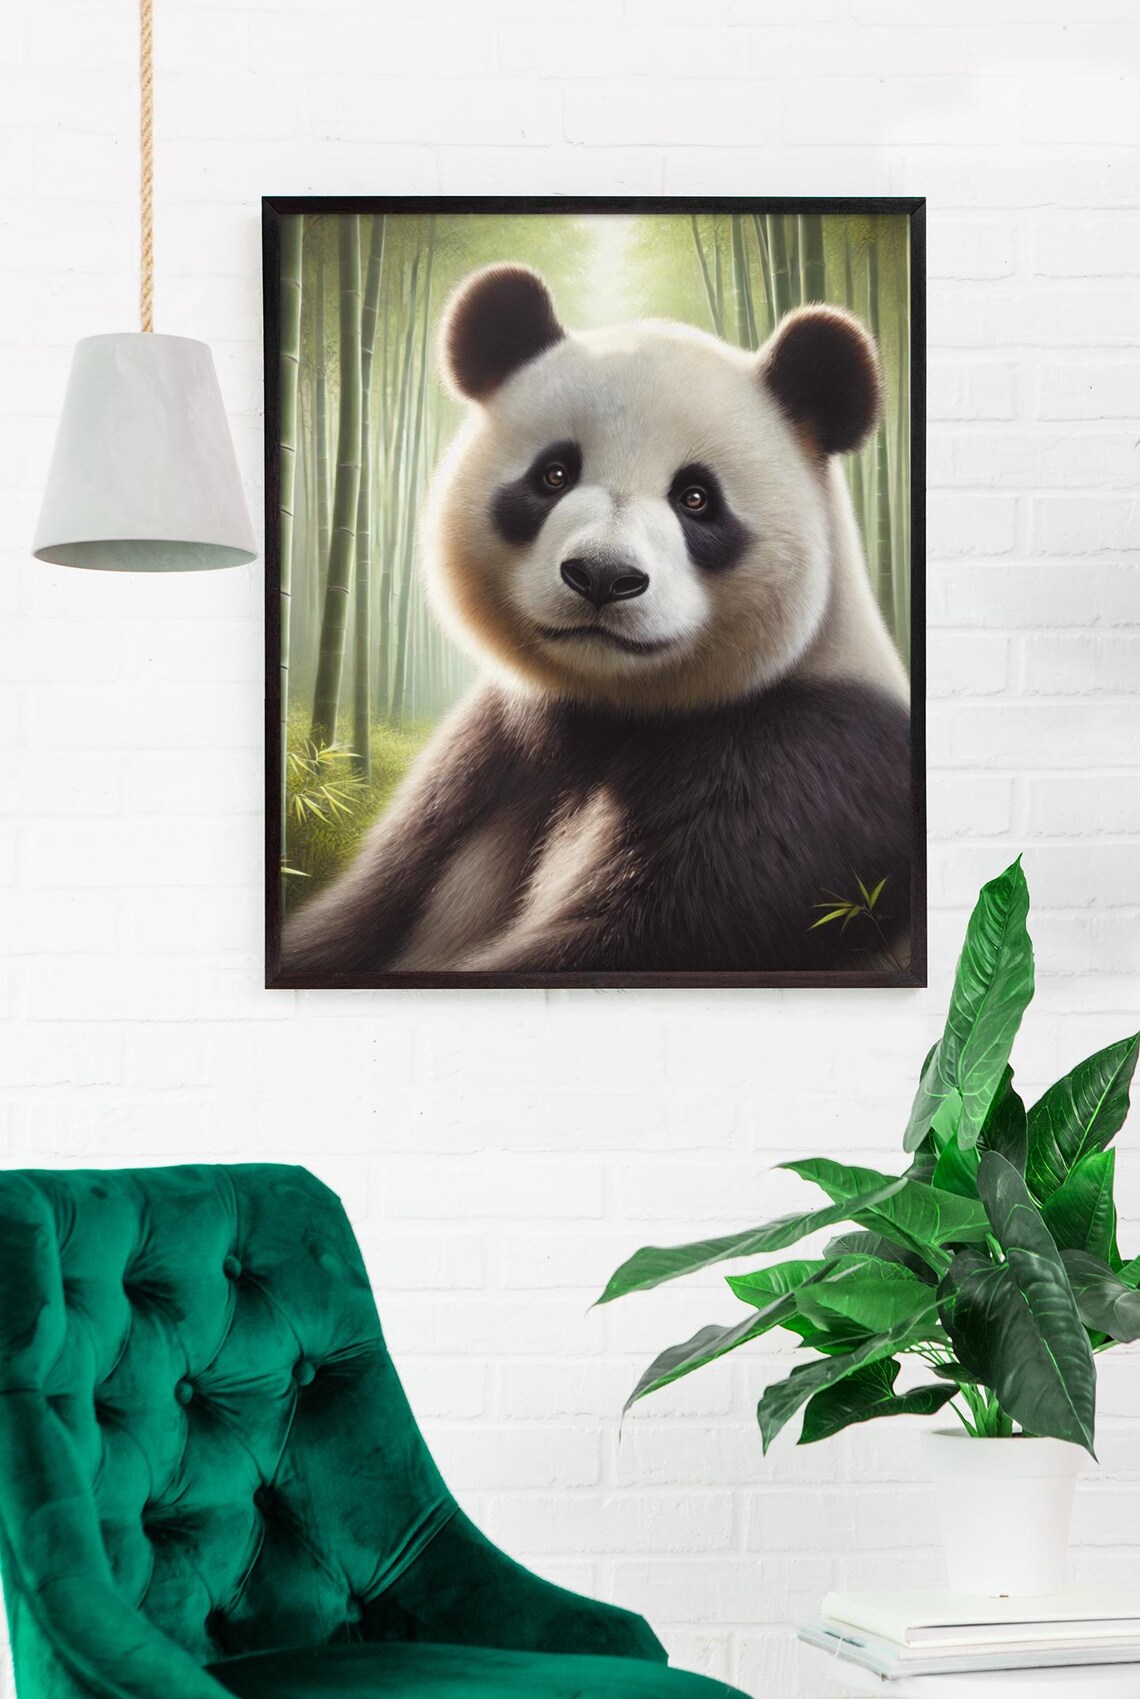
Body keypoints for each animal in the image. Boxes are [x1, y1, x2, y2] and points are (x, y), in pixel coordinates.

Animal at [282, 263, 912, 979]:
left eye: (697, 498)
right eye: (554, 473)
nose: (603, 577)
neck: (612, 709)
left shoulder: (805, 778)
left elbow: (643, 932)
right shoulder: (481, 764)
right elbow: (358, 916)